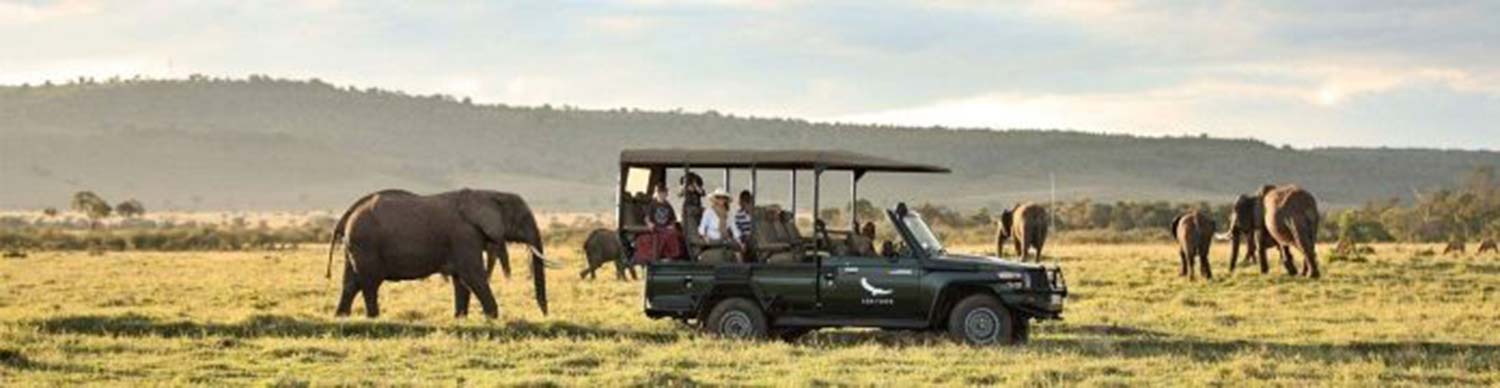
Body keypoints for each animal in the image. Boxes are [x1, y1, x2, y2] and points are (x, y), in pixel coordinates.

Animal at [325, 188, 549, 319]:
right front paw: (492, 318)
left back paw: (341, 317)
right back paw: (374, 318)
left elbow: (461, 280)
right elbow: (473, 275)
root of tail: (348, 215)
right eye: (523, 218)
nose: (545, 315)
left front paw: (460, 319)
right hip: (367, 244)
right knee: (370, 283)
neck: (489, 193)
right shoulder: (464, 235)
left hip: (355, 245)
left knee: (351, 282)